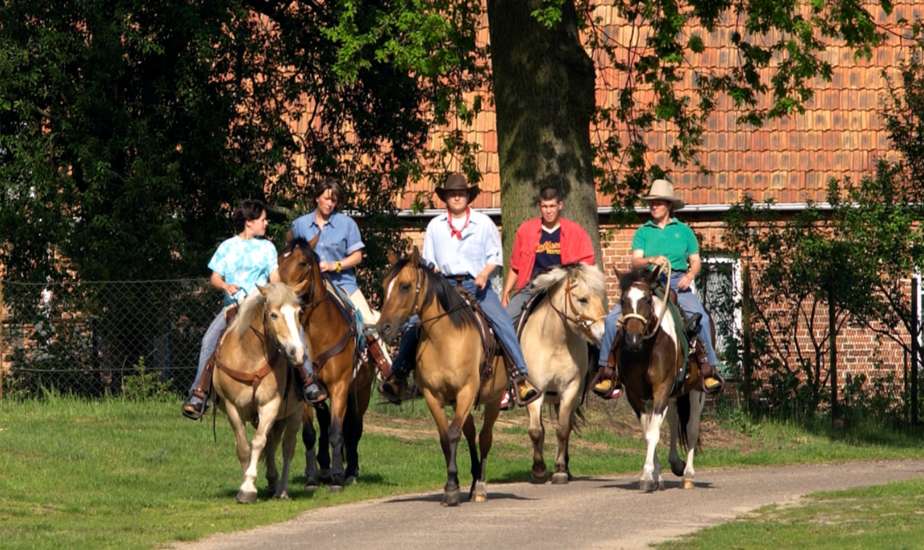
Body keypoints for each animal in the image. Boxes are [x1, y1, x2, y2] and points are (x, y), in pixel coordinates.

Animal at [211, 284, 304, 504]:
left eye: (298, 313)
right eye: (273, 315)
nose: (296, 352)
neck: (249, 357)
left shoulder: (269, 405)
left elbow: (258, 442)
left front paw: (248, 487)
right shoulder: (232, 406)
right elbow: (244, 446)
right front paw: (246, 486)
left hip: (295, 414)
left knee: (287, 448)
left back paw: (282, 490)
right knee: (272, 445)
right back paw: (272, 482)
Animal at [276, 238, 374, 492]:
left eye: (302, 262)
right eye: (279, 260)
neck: (320, 333)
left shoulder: (340, 387)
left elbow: (337, 432)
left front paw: (339, 477)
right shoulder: (306, 390)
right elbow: (310, 434)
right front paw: (312, 477)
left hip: (360, 392)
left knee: (354, 427)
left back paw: (350, 471)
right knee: (326, 421)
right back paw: (324, 468)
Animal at [376, 250, 506, 508]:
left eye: (405, 286)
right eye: (385, 286)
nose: (383, 328)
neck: (445, 340)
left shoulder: (467, 391)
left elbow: (454, 434)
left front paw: (453, 490)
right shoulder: (433, 395)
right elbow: (446, 437)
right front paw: (452, 486)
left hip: (494, 400)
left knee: (485, 437)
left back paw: (481, 488)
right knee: (471, 434)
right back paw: (473, 484)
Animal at [524, 266, 608, 486]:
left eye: (601, 298)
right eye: (583, 299)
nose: (602, 332)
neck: (555, 341)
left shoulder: (570, 389)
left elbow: (562, 430)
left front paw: (560, 470)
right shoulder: (534, 390)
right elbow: (536, 431)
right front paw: (538, 470)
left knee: (567, 426)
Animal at [612, 268, 708, 492]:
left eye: (647, 299)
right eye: (623, 300)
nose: (633, 339)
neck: (645, 350)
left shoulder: (661, 389)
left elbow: (654, 432)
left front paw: (648, 476)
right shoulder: (636, 395)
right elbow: (648, 432)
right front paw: (655, 476)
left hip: (696, 392)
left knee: (691, 428)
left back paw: (688, 474)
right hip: (673, 395)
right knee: (673, 421)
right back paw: (676, 463)